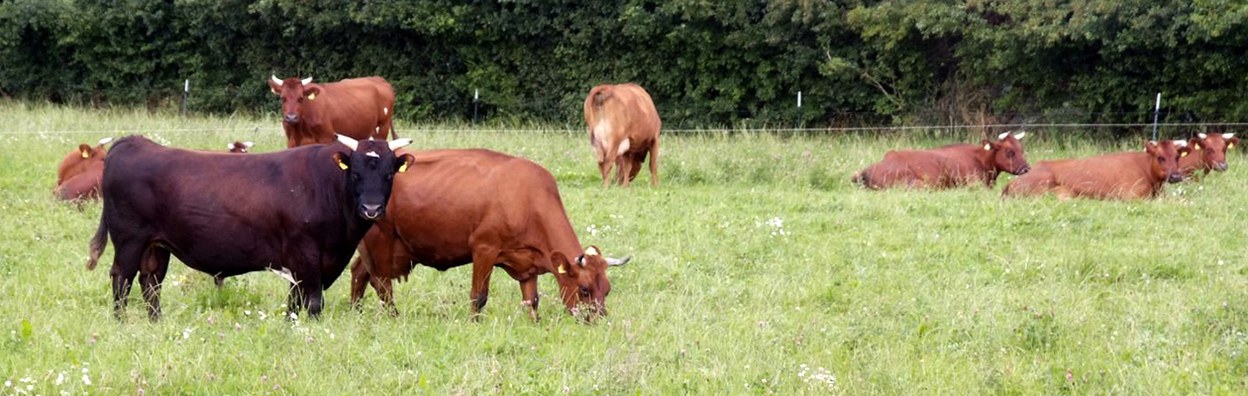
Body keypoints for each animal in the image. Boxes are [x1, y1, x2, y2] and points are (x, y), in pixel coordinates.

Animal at [84, 134, 414, 319]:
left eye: (389, 174)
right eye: (355, 173)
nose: (371, 209)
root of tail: (133, 142)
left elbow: (295, 303)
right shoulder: (306, 255)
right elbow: (313, 302)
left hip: (156, 245)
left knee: (150, 281)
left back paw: (156, 321)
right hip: (130, 240)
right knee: (122, 278)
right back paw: (121, 321)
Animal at [346, 148, 628, 319]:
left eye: (607, 289)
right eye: (584, 289)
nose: (598, 321)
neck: (528, 199)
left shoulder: (527, 264)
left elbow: (531, 300)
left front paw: (533, 324)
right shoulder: (484, 249)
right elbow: (479, 295)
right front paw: (473, 324)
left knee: (360, 273)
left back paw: (355, 312)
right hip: (381, 240)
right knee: (382, 284)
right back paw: (392, 316)